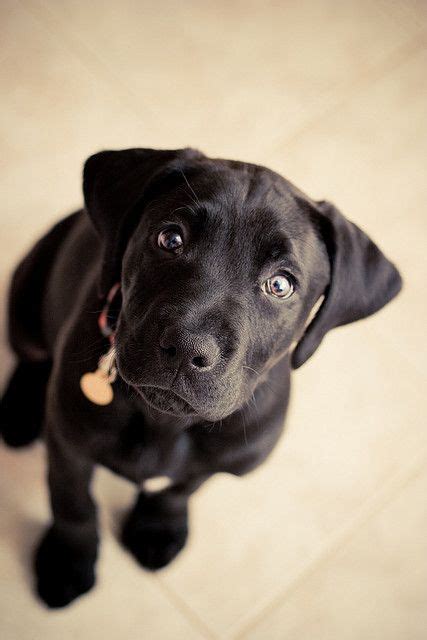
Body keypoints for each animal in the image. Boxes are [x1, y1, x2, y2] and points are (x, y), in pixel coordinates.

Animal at [0, 148, 402, 608]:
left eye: (280, 285)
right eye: (170, 239)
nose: (188, 348)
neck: (165, 422)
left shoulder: (225, 458)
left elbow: (182, 488)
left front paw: (159, 528)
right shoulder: (69, 443)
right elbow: (73, 502)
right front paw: (67, 562)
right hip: (28, 290)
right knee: (30, 354)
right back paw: (18, 410)